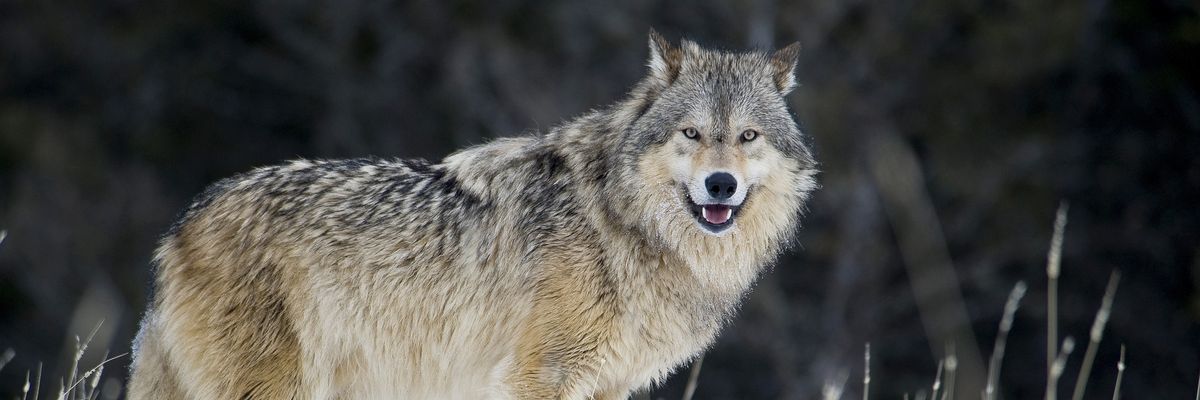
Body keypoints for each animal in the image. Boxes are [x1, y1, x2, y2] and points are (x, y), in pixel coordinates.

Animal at [127, 31, 817, 399]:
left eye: (748, 136)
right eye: (691, 133)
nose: (721, 185)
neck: (623, 225)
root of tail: (180, 227)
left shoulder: (609, 385)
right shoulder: (538, 378)